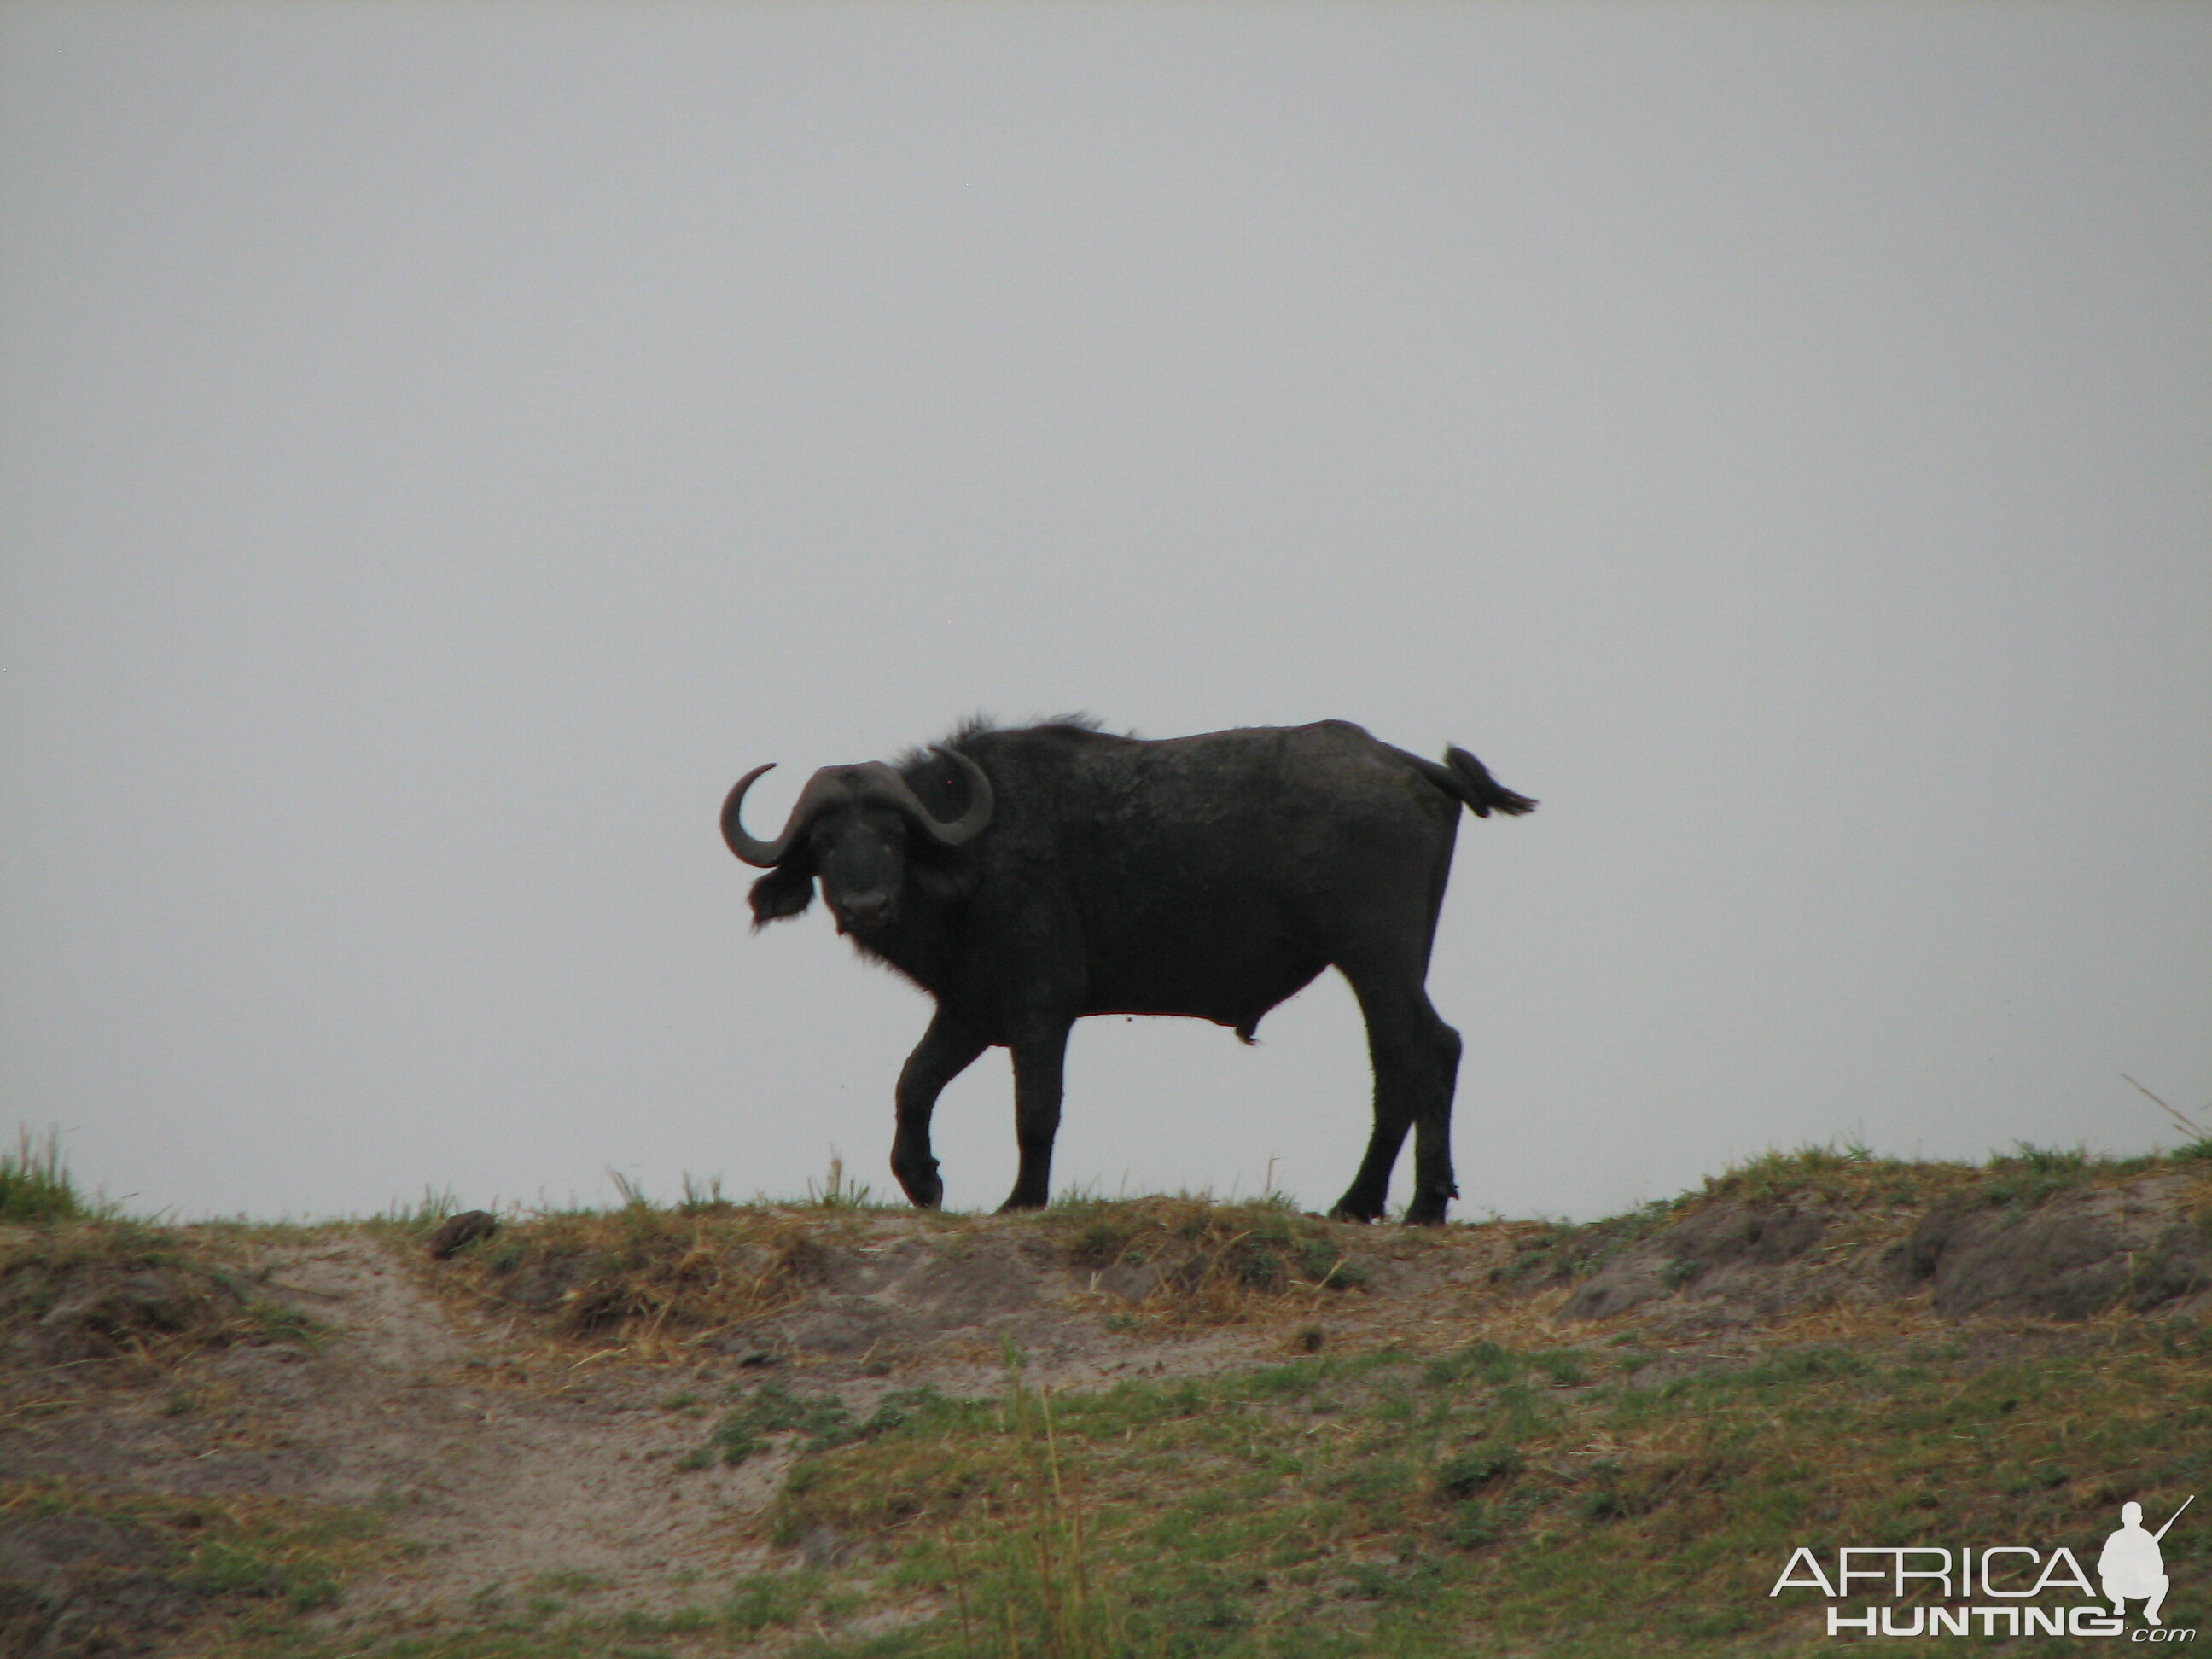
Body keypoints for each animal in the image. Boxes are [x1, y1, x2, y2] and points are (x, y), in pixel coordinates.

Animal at [725, 720, 1540, 1230]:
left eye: (893, 836)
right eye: (827, 843)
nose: (867, 905)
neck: (971, 855)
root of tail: (1403, 762)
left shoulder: (1040, 1006)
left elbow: (1035, 1108)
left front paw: (1022, 1200)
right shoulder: (969, 1010)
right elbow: (912, 1083)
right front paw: (922, 1178)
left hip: (1374, 955)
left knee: (1418, 1052)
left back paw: (1405, 1203)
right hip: (1391, 962)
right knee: (1416, 1055)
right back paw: (1382, 1202)